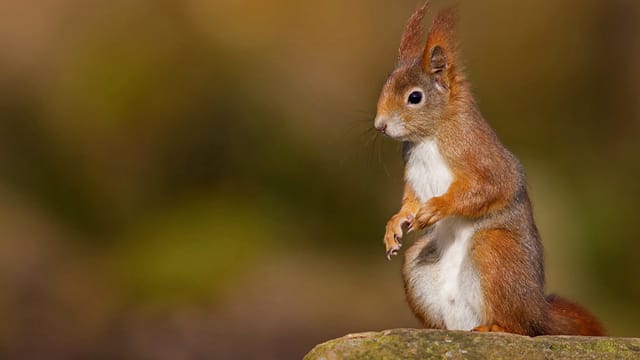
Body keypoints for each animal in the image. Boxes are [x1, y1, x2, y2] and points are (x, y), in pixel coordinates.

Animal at [372, 2, 604, 338]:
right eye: (386, 86)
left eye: (415, 97)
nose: (380, 125)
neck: (429, 137)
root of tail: (539, 313)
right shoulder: (414, 178)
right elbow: (410, 203)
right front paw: (394, 225)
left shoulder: (481, 156)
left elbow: (490, 188)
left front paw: (438, 207)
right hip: (418, 265)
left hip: (493, 251)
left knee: (520, 326)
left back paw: (497, 327)